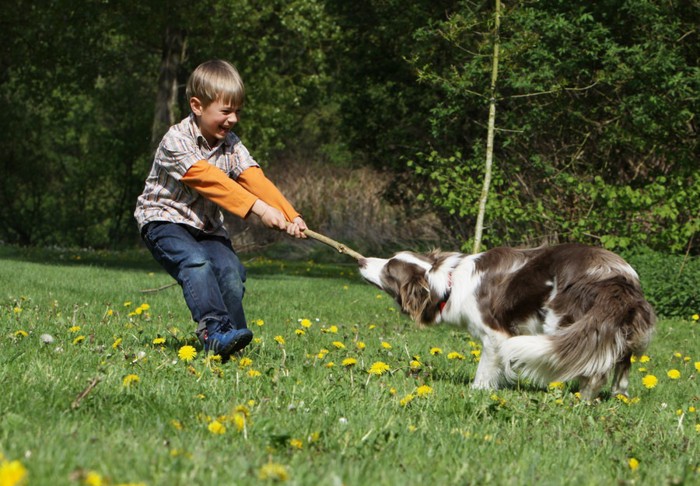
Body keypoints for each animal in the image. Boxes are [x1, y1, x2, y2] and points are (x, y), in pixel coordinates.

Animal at [360, 243, 656, 398]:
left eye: (389, 269)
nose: (361, 260)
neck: (447, 283)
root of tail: (616, 278)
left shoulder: (496, 335)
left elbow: (485, 369)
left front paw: (477, 391)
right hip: (619, 331)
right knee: (620, 365)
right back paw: (617, 398)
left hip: (562, 322)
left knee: (592, 369)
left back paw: (580, 399)